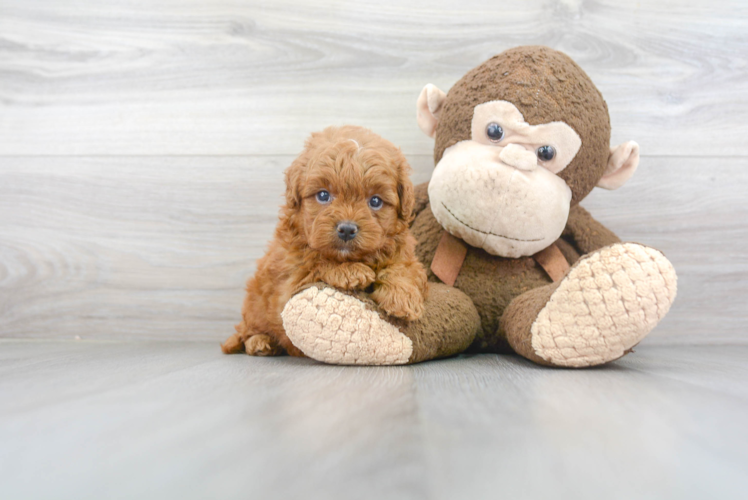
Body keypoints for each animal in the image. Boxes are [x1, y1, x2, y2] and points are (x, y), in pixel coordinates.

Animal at [221, 127, 426, 358]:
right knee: (246, 331)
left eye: (375, 201)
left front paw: (402, 296)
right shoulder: (287, 284)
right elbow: (315, 265)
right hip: (254, 306)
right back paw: (260, 342)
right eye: (323, 195)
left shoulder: (406, 254)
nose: (347, 229)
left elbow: (403, 268)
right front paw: (349, 272)